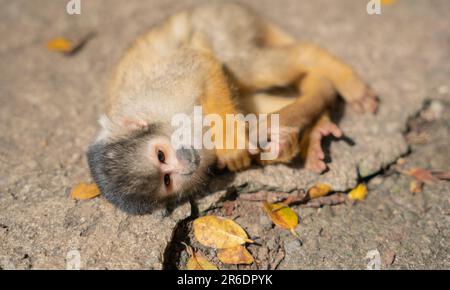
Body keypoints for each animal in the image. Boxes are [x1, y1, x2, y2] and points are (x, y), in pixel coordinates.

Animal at [86, 1, 378, 213]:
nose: (185, 167)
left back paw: (329, 72)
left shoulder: (159, 93)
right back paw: (314, 113)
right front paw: (285, 140)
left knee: (236, 63)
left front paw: (232, 144)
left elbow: (202, 65)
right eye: (167, 180)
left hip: (220, 25)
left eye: (160, 155)